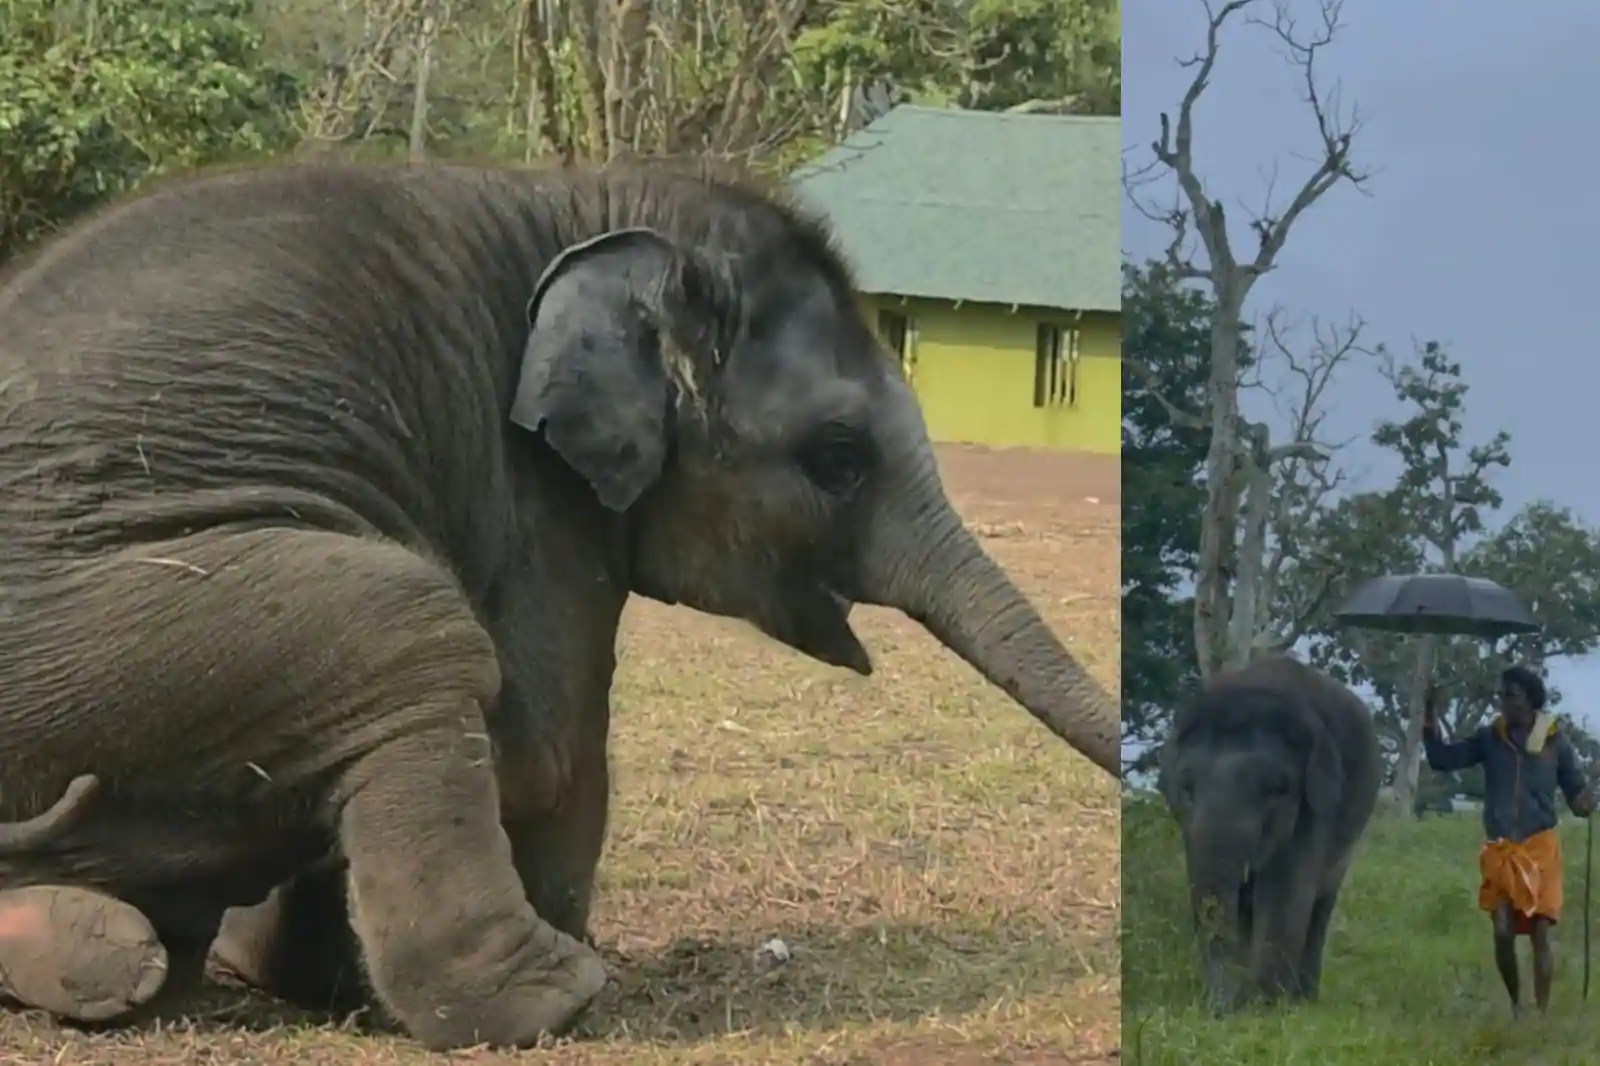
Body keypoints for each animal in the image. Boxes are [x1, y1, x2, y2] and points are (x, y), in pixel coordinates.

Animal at [0, 159, 1119, 1050]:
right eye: (837, 458)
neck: (593, 196)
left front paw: (308, 976)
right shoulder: (533, 485)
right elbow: (546, 747)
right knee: (407, 621)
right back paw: (557, 993)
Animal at [1157, 654, 1379, 1012]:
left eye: (1275, 789)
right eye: (1187, 788)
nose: (1218, 1009)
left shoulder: (1314, 806)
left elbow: (1283, 890)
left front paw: (1265, 1006)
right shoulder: (1188, 825)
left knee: (1321, 904)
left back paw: (1305, 998)